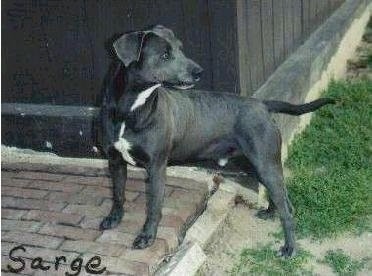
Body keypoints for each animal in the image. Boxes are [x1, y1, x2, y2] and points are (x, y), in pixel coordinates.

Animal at [99, 24, 334, 258]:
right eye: (165, 55)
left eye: (180, 48)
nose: (199, 72)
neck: (131, 110)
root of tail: (262, 104)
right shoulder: (115, 161)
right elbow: (118, 194)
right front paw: (113, 219)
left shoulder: (156, 168)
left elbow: (154, 208)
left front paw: (147, 237)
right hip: (253, 165)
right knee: (280, 197)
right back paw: (270, 213)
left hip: (266, 163)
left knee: (286, 207)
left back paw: (289, 248)